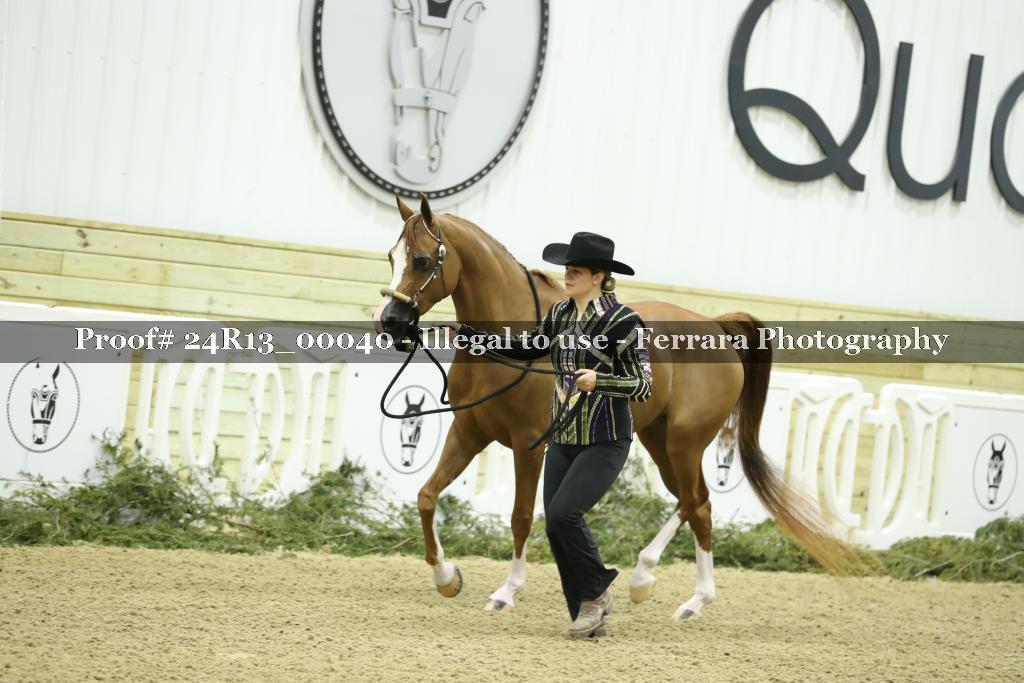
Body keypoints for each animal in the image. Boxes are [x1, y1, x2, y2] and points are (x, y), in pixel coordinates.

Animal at [372, 193, 856, 621]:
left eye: (421, 260)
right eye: (392, 257)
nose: (391, 323)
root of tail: (717, 328)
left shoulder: (529, 446)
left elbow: (521, 517)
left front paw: (506, 592)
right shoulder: (469, 432)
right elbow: (427, 497)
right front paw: (447, 578)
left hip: (685, 443)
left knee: (696, 502)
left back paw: (677, 593)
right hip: (658, 439)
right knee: (690, 502)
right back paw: (658, 587)